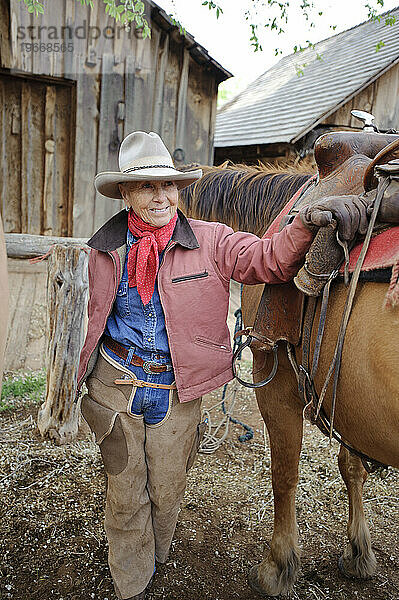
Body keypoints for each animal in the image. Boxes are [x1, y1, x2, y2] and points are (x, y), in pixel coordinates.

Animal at [180, 163, 399, 596]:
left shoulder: (277, 386)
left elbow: (284, 474)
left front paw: (277, 566)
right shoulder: (347, 398)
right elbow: (352, 465)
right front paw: (359, 551)